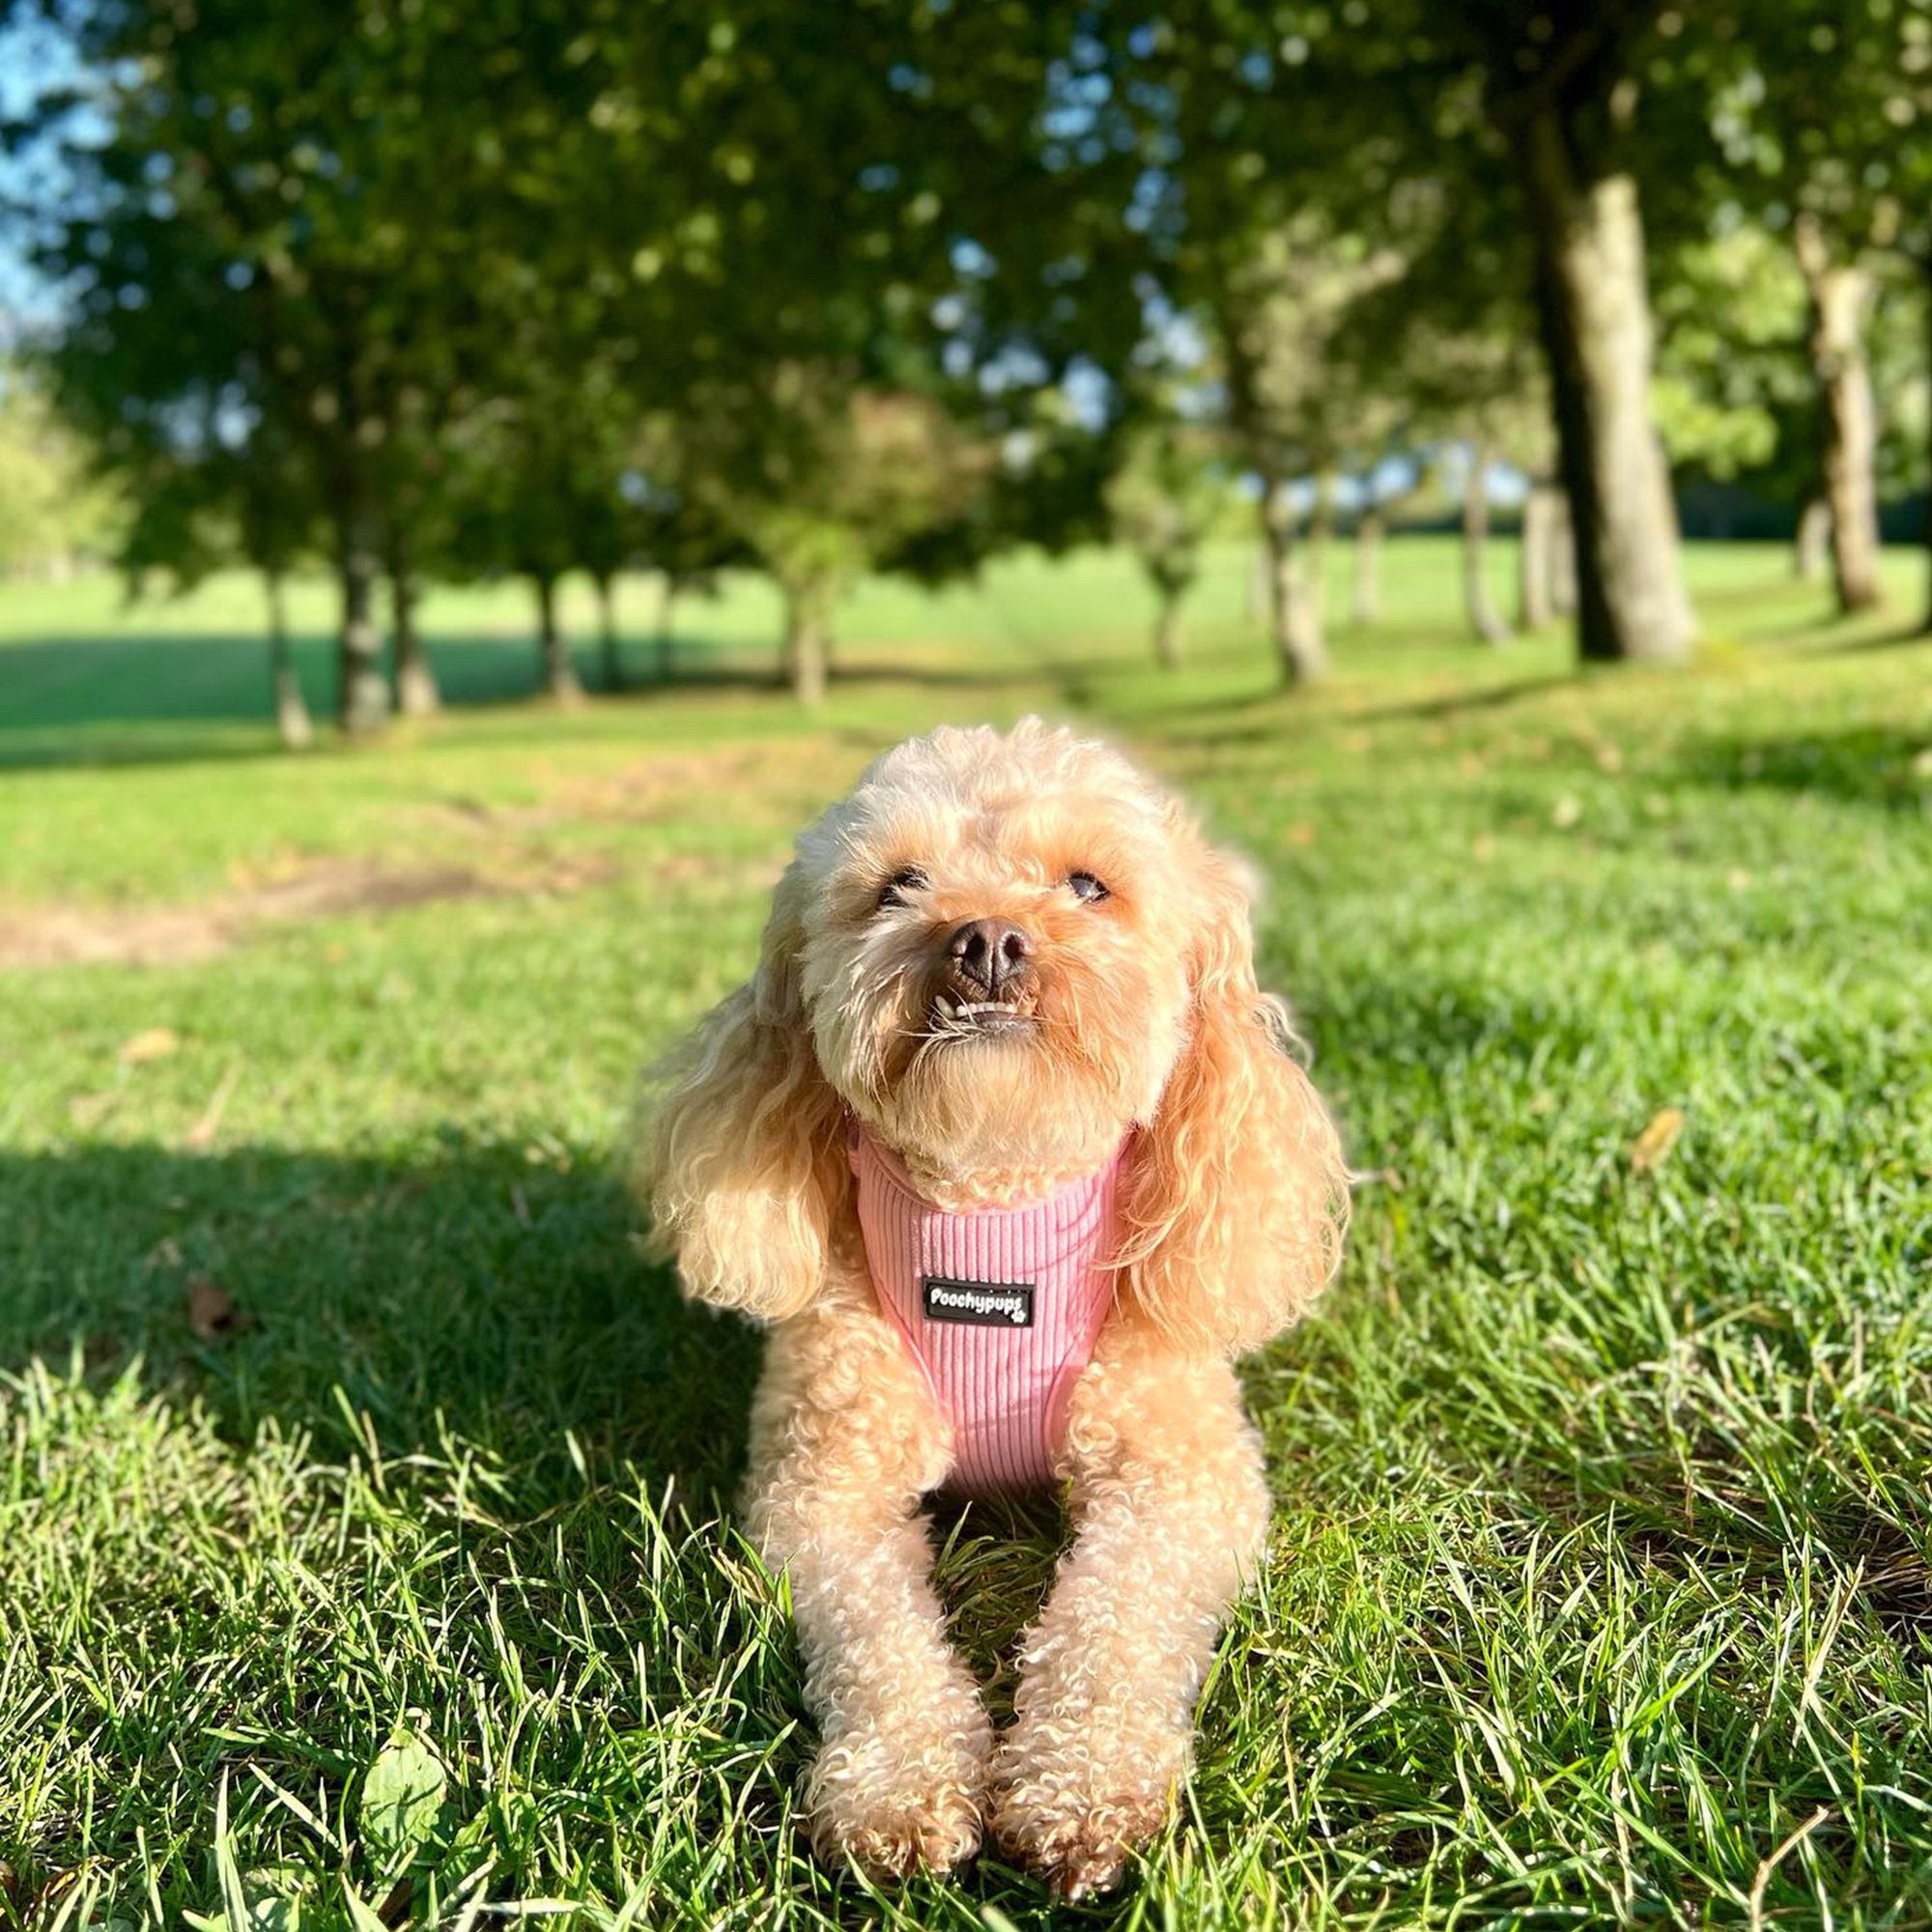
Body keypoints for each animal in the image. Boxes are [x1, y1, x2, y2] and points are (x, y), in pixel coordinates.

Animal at [641, 719, 1352, 1893]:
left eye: (1088, 884)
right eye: (897, 884)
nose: (984, 938)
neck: (989, 1208)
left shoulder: (1179, 1473)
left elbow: (1114, 1618)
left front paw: (1083, 1784)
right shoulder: (824, 1482)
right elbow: (878, 1639)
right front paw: (898, 1788)